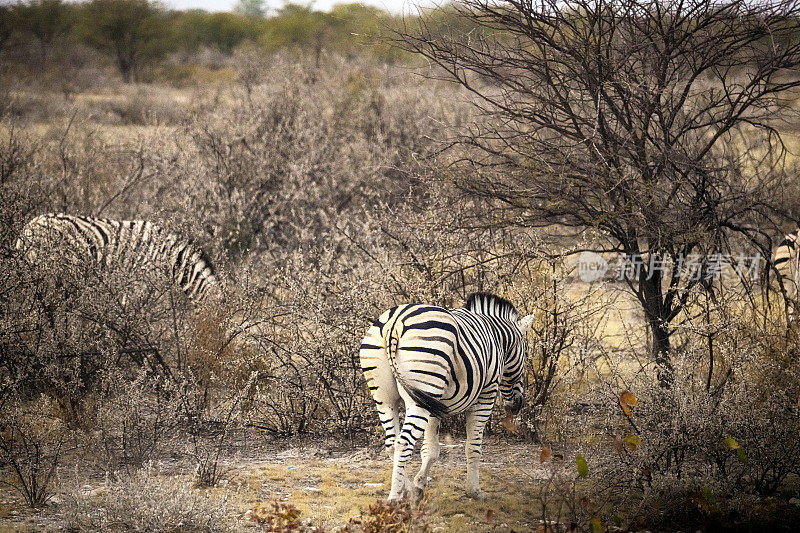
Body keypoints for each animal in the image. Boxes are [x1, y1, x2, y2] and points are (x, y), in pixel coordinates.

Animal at [360, 290, 536, 498]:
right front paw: (474, 490)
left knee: (391, 443)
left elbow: (431, 449)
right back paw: (395, 498)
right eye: (526, 356)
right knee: (403, 443)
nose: (517, 405)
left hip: (385, 397)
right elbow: (473, 447)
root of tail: (394, 323)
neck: (496, 337)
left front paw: (419, 483)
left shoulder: (434, 403)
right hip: (420, 391)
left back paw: (407, 489)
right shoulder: (486, 394)